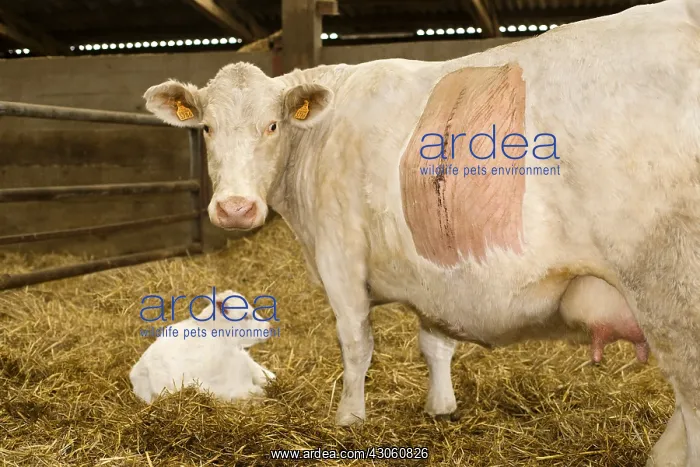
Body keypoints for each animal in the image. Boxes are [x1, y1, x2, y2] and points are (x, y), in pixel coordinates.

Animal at [144, 0, 700, 463]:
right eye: (207, 128)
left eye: (273, 125)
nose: (235, 208)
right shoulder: (436, 275)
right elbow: (436, 342)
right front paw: (441, 405)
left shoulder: (340, 253)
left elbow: (356, 343)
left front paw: (349, 418)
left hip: (670, 289)